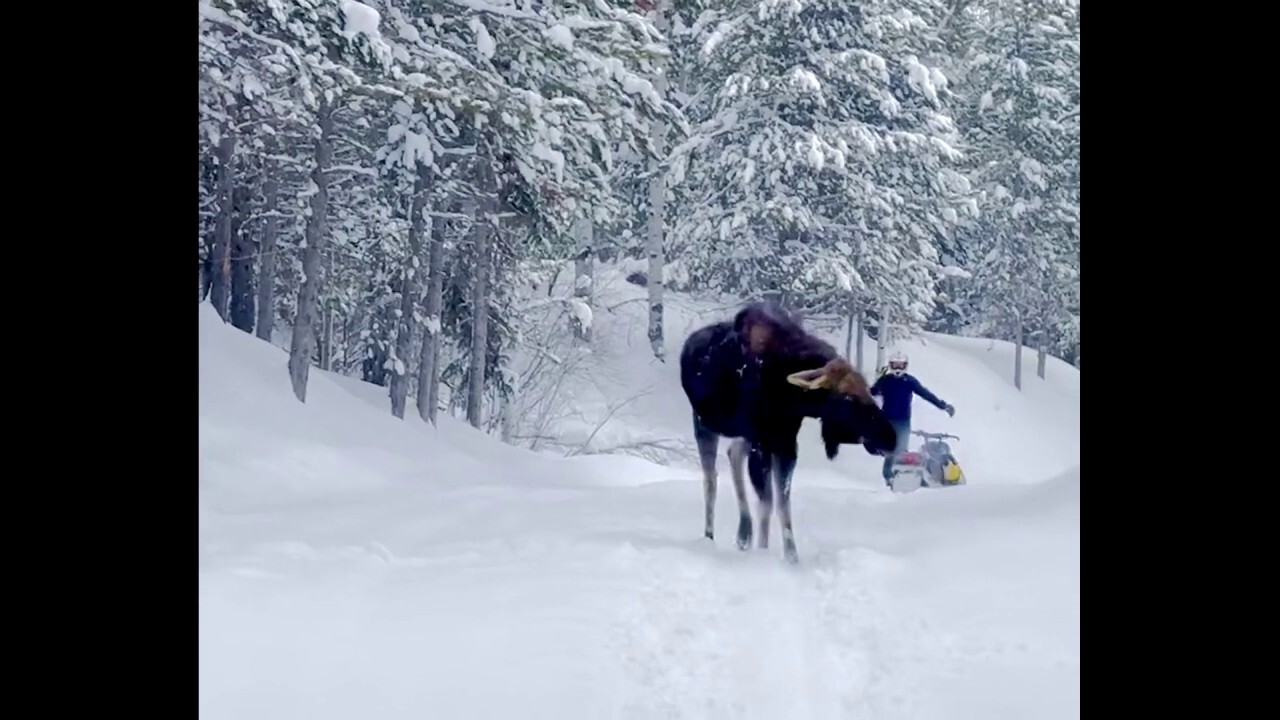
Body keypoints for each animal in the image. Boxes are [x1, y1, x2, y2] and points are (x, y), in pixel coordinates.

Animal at [675, 299, 896, 563]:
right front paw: (763, 552)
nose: (890, 438)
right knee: (711, 481)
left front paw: (790, 558)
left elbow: (782, 505)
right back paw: (710, 536)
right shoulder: (763, 443)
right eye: (847, 397)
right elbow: (768, 503)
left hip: (742, 435)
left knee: (733, 454)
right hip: (704, 423)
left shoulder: (785, 444)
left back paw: (744, 533)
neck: (790, 399)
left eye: (868, 390)